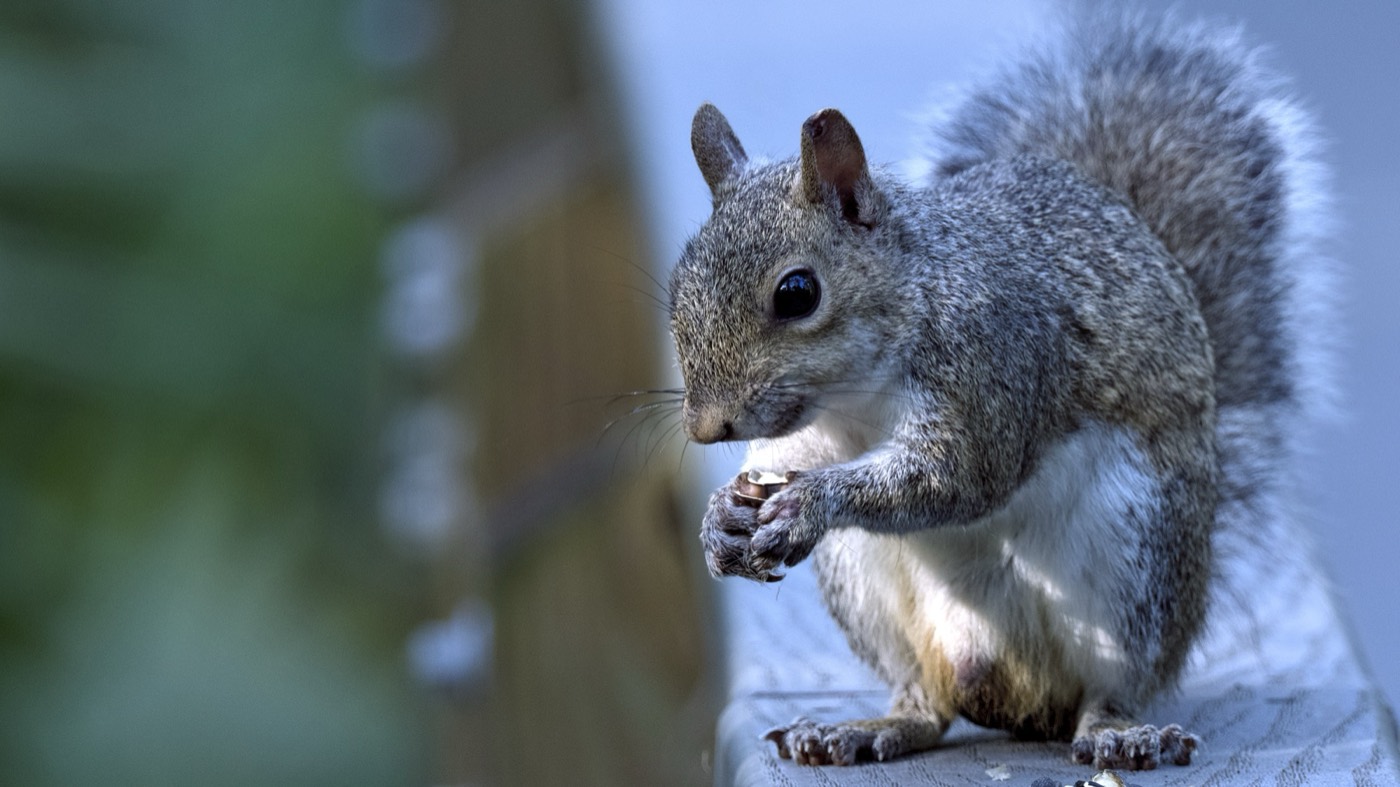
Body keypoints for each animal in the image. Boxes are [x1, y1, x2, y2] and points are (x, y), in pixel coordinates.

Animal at [668, 8, 1330, 774]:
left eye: (797, 293)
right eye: (678, 286)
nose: (706, 427)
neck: (857, 393)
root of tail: (1006, 686)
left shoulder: (992, 368)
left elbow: (957, 476)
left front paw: (811, 502)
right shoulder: (809, 433)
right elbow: (786, 466)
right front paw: (721, 518)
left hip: (1134, 559)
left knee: (1112, 684)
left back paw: (1122, 732)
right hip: (868, 587)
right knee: (926, 704)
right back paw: (863, 728)